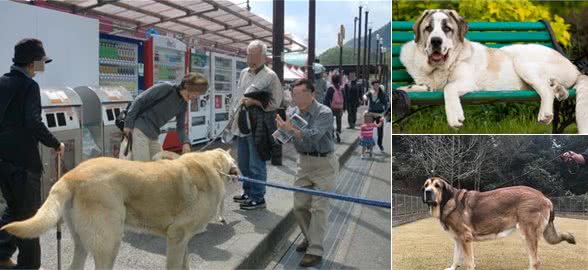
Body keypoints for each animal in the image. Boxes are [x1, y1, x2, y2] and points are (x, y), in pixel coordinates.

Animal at [1, 149, 239, 268]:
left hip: (83, 243)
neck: (213, 164)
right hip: (110, 244)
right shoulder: (177, 237)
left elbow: (185, 264)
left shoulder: (183, 241)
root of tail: (71, 175)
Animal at [420, 177, 576, 270]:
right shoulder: (458, 240)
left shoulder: (465, 238)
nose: (428, 192)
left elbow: (469, 262)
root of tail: (545, 197)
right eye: (426, 185)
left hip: (528, 234)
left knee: (535, 262)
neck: (447, 201)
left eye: (437, 186)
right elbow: (456, 258)